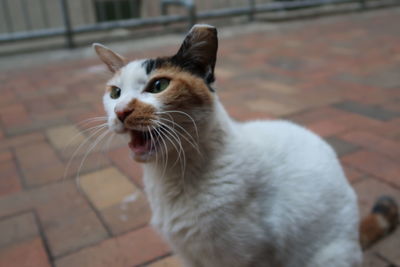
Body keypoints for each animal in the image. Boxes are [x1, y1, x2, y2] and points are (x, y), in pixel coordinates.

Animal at [93, 24, 396, 266]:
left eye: (158, 86)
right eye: (115, 93)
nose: (121, 111)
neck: (171, 177)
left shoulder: (248, 256)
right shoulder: (190, 256)